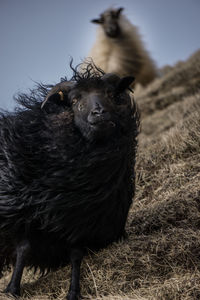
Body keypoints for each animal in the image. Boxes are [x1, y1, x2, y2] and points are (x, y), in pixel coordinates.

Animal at [0, 62, 139, 298]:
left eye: (110, 94)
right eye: (74, 101)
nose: (99, 113)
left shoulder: (82, 220)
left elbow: (76, 255)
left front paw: (74, 292)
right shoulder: (23, 214)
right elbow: (23, 249)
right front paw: (12, 289)